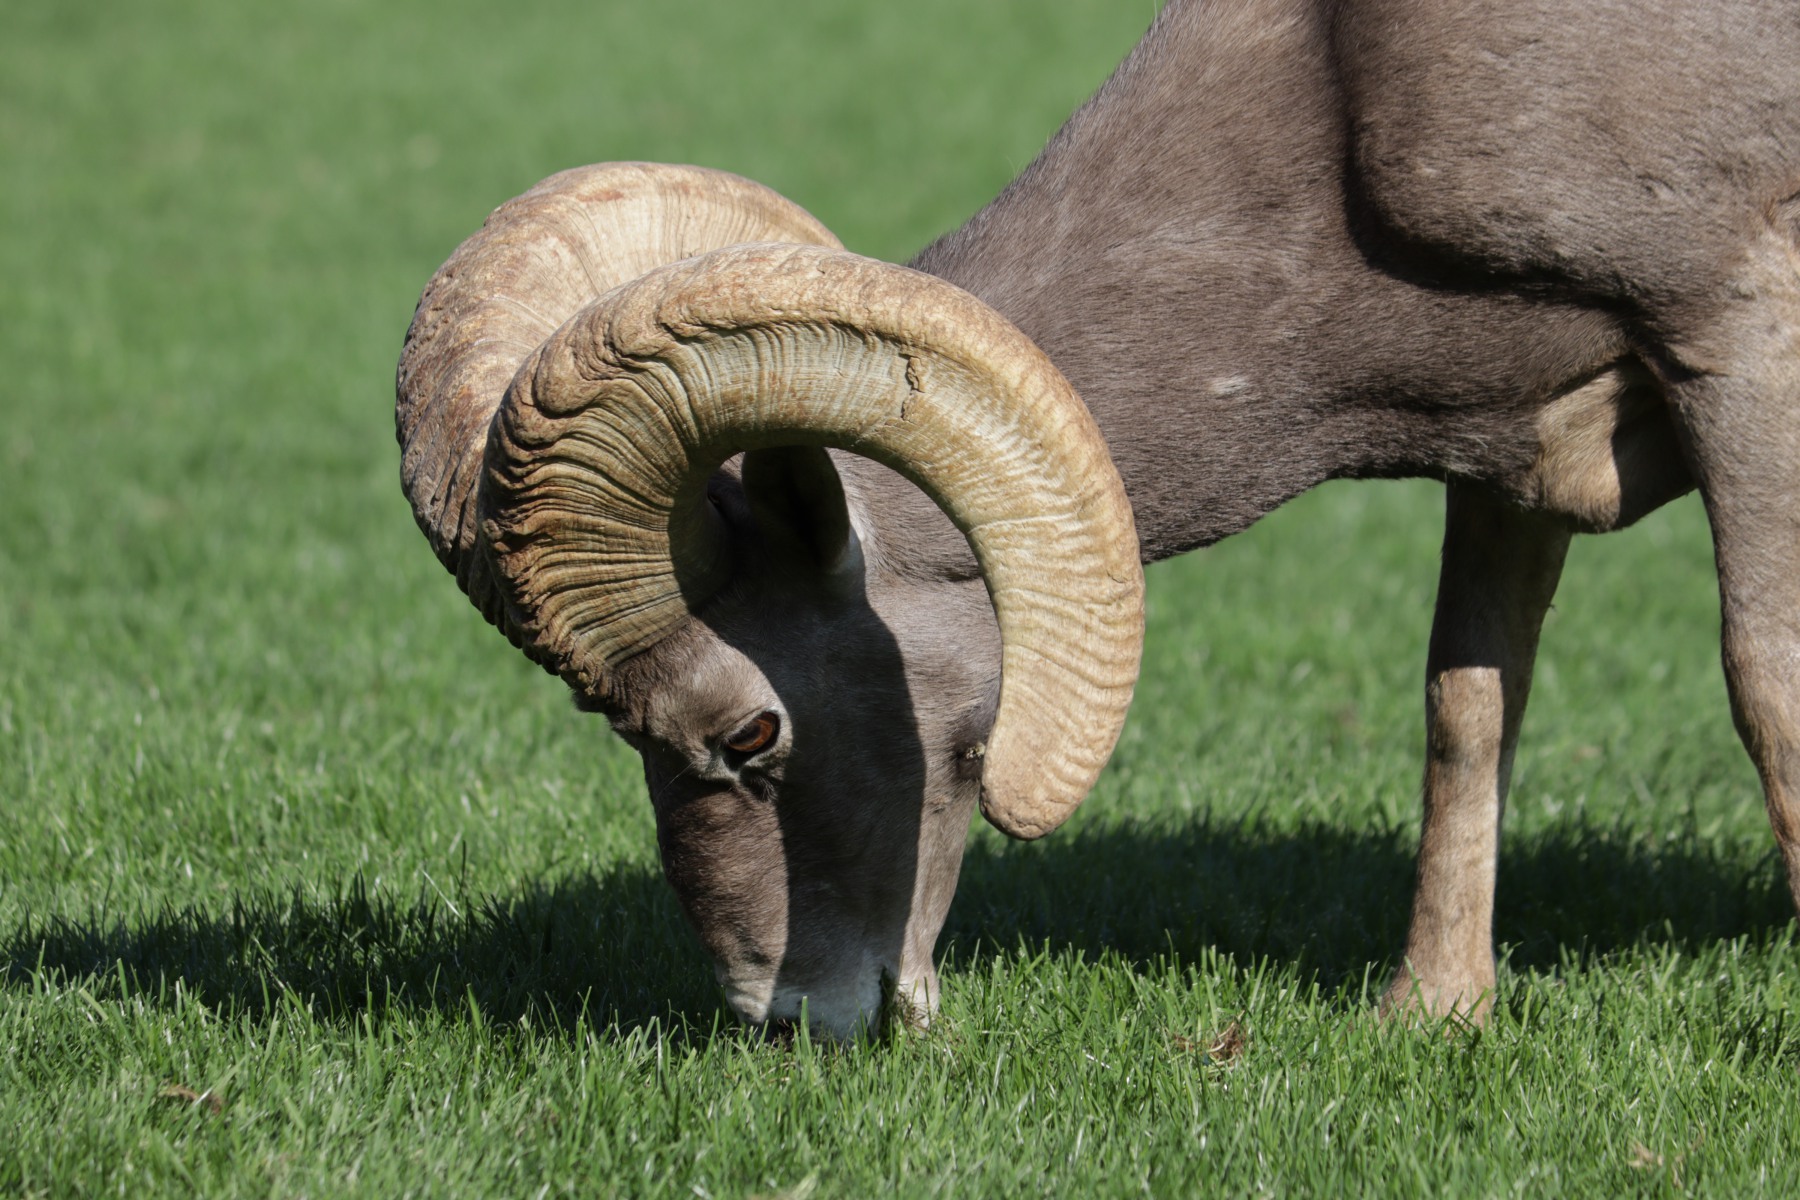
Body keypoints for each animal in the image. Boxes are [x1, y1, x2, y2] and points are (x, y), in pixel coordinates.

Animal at [401, 0, 1800, 1036]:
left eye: (751, 732)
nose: (785, 1021)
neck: (1341, 105)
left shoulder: (1737, 349)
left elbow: (1764, 690)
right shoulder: (1511, 465)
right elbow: (1467, 708)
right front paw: (1434, 1013)